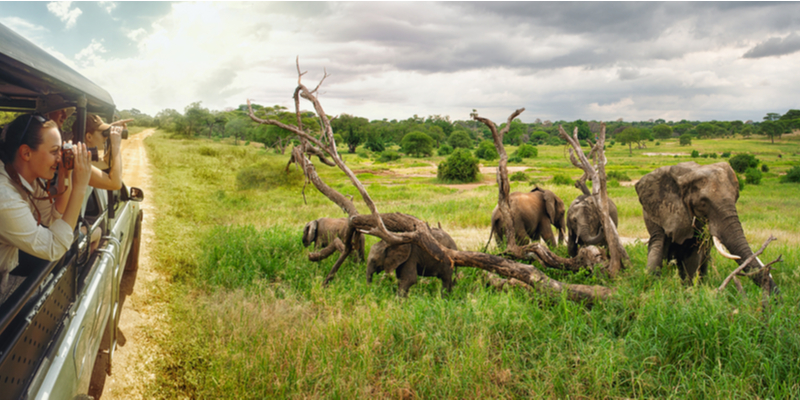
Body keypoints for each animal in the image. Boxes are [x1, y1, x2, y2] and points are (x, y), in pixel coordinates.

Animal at [636, 162, 780, 294]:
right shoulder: (659, 211)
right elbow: (657, 246)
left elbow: (694, 257)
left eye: (736, 198)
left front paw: (689, 291)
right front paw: (652, 286)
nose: (777, 300)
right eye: (703, 203)